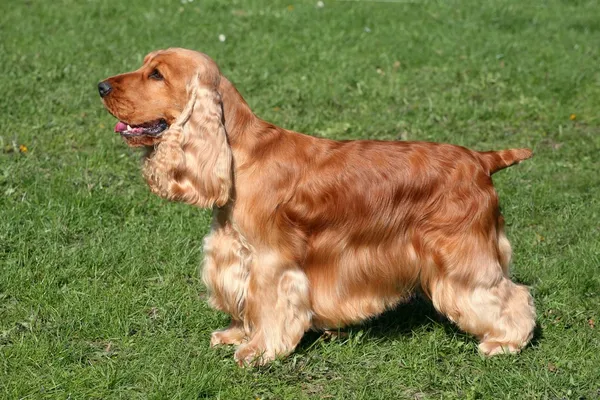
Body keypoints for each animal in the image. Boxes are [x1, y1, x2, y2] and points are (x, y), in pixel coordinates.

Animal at [98, 47, 536, 366]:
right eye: (144, 65)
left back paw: (505, 342)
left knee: (509, 295)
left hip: (463, 254)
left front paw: (258, 350)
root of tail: (480, 159)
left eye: (156, 74)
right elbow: (243, 302)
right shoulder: (234, 253)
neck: (239, 154)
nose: (101, 86)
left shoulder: (272, 261)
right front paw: (235, 334)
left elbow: (270, 306)